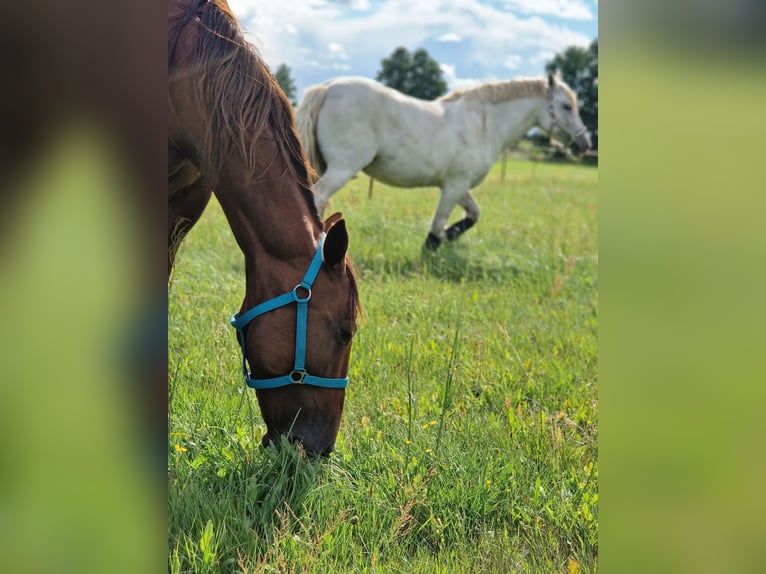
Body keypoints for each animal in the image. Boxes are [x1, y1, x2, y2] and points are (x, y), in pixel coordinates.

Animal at [296, 74, 591, 250]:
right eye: (567, 106)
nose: (585, 144)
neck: (483, 124)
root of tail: (328, 88)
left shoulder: (458, 186)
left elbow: (473, 215)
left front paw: (451, 236)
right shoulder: (454, 186)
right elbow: (438, 225)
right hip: (342, 168)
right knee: (319, 197)